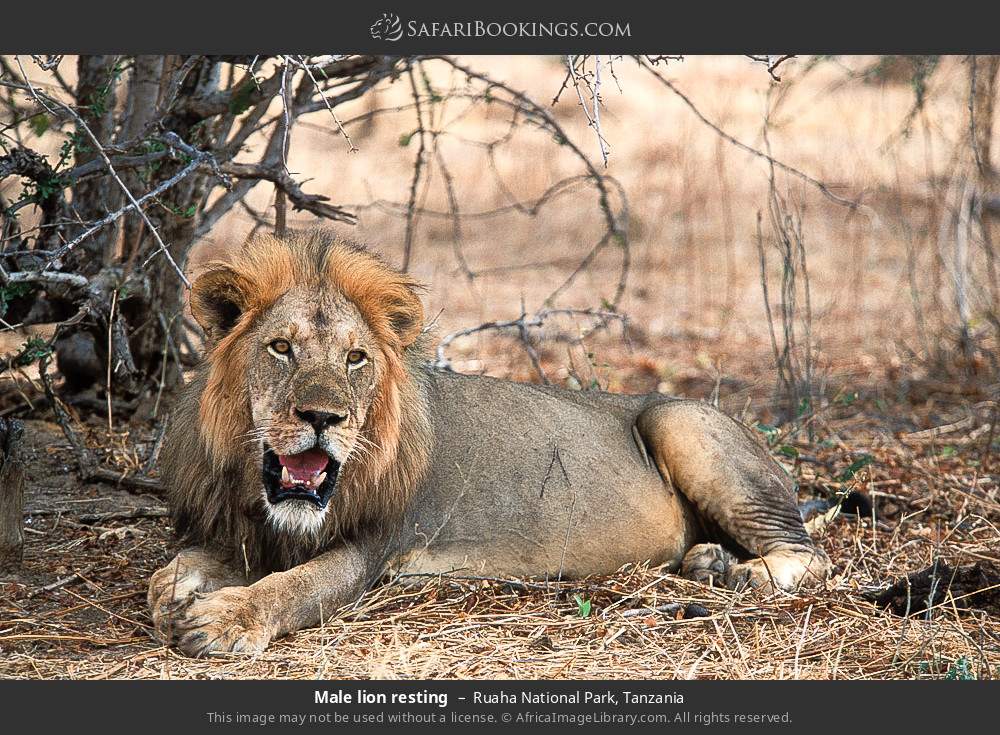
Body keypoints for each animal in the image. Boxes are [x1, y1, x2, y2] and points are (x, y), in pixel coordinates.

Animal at [149, 230, 830, 656]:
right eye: (280, 348)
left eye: (355, 359)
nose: (323, 417)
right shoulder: (244, 529)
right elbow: (182, 567)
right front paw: (173, 594)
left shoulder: (371, 548)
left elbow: (294, 588)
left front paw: (225, 619)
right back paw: (710, 562)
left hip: (680, 422)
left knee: (810, 553)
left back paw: (742, 574)